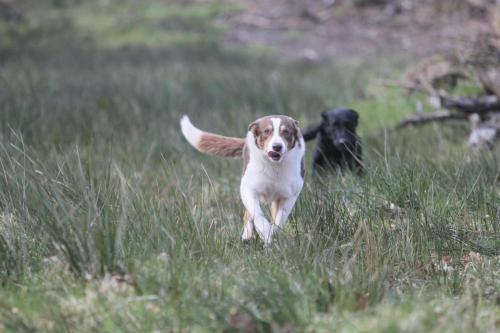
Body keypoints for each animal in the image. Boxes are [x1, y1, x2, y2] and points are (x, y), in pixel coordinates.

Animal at [180, 114, 304, 244]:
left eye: (286, 132)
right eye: (266, 131)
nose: (277, 147)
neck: (274, 166)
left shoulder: (290, 194)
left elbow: (280, 218)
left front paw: (272, 233)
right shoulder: (249, 189)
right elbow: (256, 212)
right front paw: (264, 231)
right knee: (248, 214)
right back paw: (247, 235)